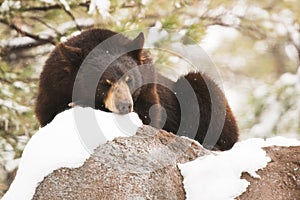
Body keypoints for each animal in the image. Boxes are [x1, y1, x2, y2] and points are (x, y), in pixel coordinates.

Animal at [34, 28, 238, 150]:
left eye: (129, 79)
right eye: (105, 82)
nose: (125, 105)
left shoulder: (149, 85)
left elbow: (149, 115)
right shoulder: (51, 89)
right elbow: (50, 113)